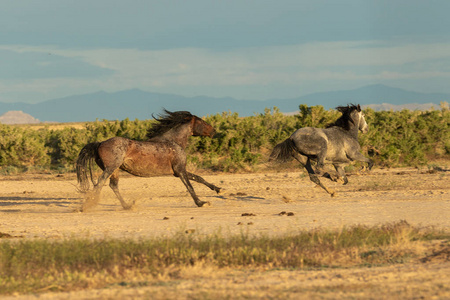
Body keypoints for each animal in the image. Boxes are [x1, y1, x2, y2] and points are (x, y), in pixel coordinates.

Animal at [76, 110, 221, 211]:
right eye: (201, 121)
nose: (214, 131)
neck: (173, 142)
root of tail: (100, 143)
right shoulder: (180, 170)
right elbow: (190, 186)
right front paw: (201, 203)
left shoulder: (177, 171)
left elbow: (199, 178)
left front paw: (218, 189)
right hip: (110, 168)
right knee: (99, 184)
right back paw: (86, 206)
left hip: (115, 170)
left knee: (113, 185)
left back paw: (127, 206)